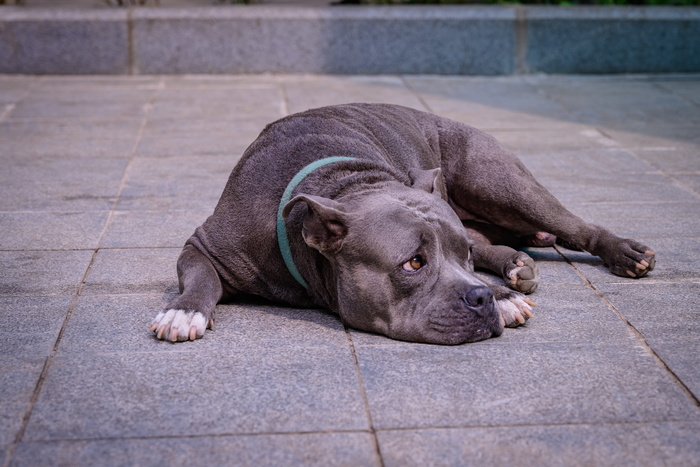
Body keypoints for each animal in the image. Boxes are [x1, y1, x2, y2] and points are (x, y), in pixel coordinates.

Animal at [149, 105, 656, 348]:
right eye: (413, 263)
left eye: (459, 258)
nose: (481, 297)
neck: (343, 183)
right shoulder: (204, 246)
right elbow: (201, 279)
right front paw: (185, 311)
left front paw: (502, 296)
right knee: (493, 237)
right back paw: (515, 263)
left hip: (498, 179)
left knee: (572, 225)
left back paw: (622, 252)